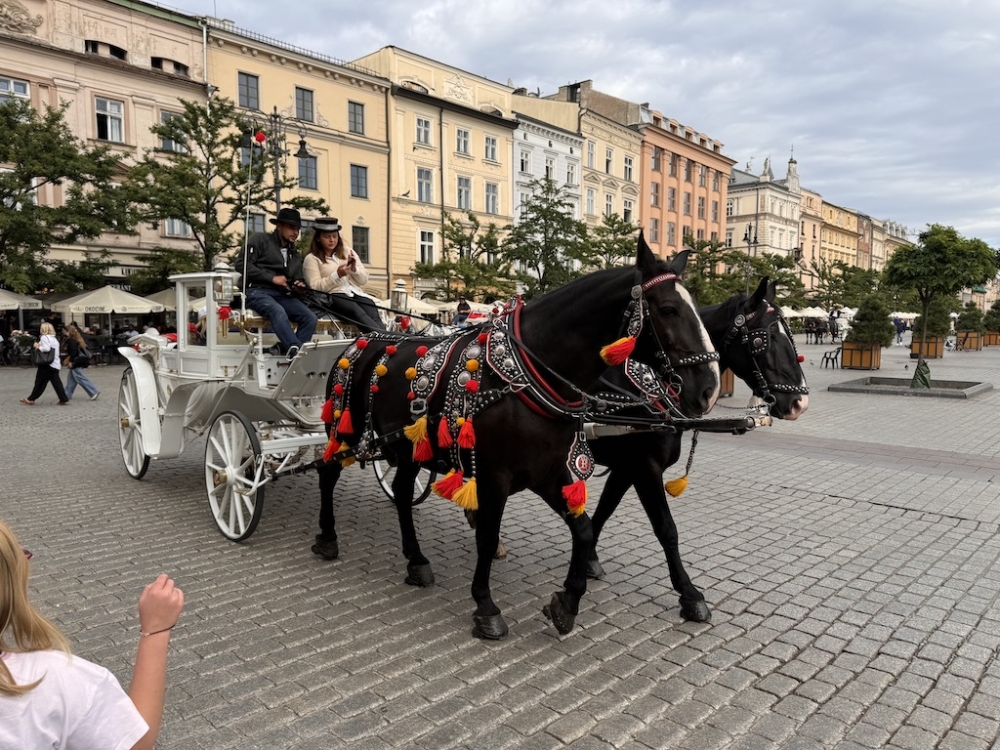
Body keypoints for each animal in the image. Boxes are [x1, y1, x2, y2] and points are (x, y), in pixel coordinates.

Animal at [320, 236, 720, 640]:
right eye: (668, 309)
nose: (709, 389)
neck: (528, 374)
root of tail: (359, 340)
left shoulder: (550, 472)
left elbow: (585, 529)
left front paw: (568, 601)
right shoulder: (500, 477)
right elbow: (488, 536)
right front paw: (486, 606)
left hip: (409, 448)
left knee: (402, 492)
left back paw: (416, 561)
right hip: (344, 431)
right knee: (327, 472)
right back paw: (327, 538)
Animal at [584, 282, 808, 624]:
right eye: (763, 339)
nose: (799, 403)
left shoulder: (625, 468)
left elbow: (604, 510)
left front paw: (588, 559)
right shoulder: (644, 468)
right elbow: (666, 529)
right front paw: (689, 594)